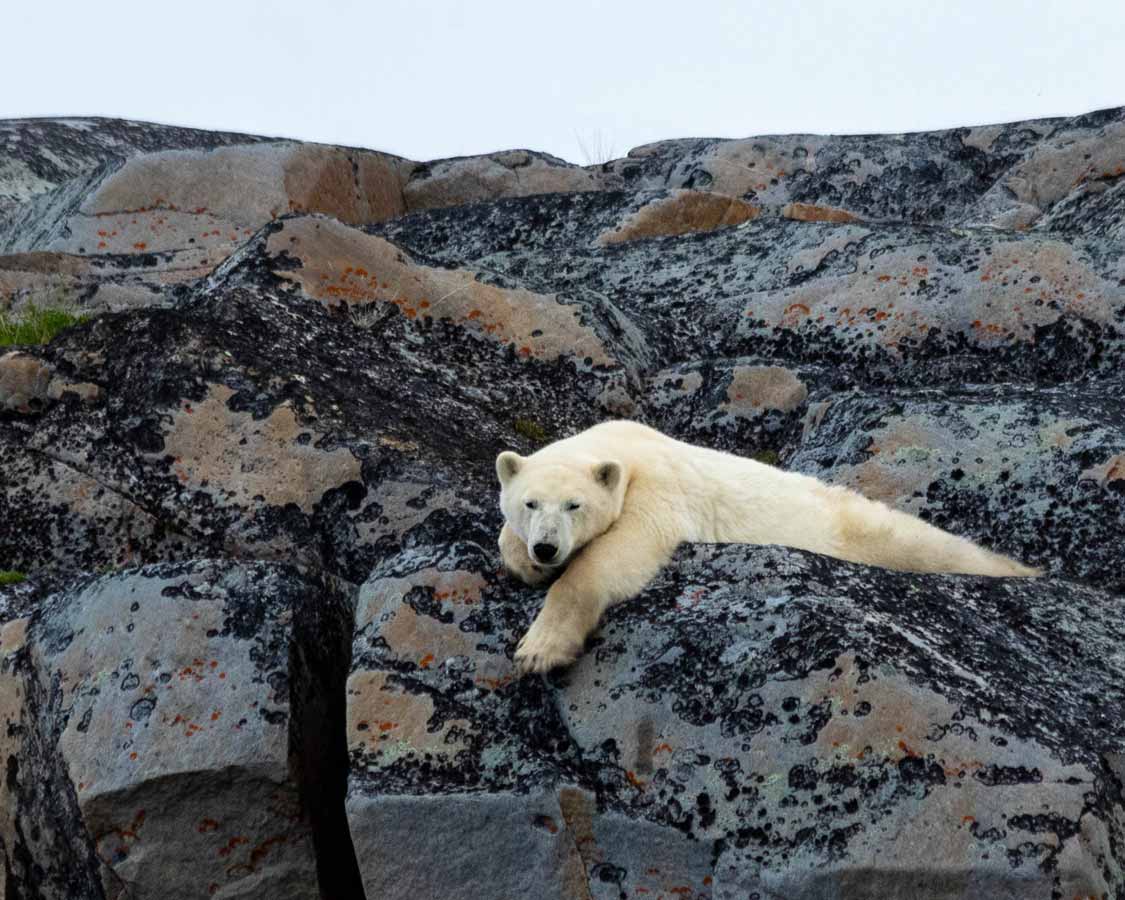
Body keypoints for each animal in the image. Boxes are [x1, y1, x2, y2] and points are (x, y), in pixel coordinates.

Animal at [497, 423, 1039, 675]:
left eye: (575, 505)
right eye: (530, 503)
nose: (546, 548)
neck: (622, 445)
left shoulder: (657, 492)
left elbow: (618, 558)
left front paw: (540, 650)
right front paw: (523, 561)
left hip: (862, 529)